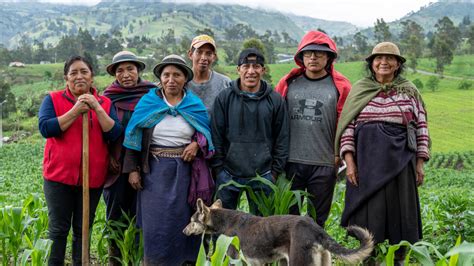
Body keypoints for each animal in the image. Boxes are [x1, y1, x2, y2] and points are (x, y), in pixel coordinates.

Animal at [183, 198, 372, 264]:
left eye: (191, 221)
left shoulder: (237, 260)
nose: (183, 231)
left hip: (298, 262)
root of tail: (314, 228)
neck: (225, 221)